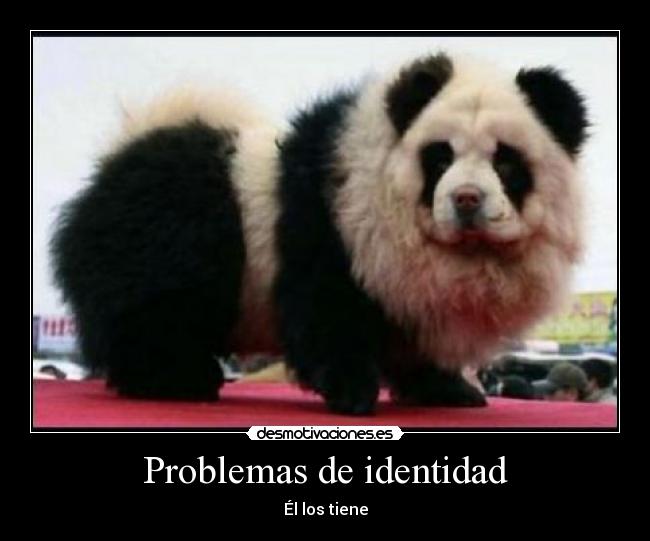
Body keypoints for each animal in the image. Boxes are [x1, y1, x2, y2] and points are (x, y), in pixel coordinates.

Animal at [50, 53, 588, 415]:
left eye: (505, 162)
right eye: (440, 158)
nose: (467, 199)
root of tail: (119, 156)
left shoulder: (413, 290)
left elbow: (418, 335)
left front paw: (449, 390)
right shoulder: (333, 226)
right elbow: (327, 309)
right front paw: (353, 393)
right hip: (158, 243)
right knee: (154, 314)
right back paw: (178, 379)